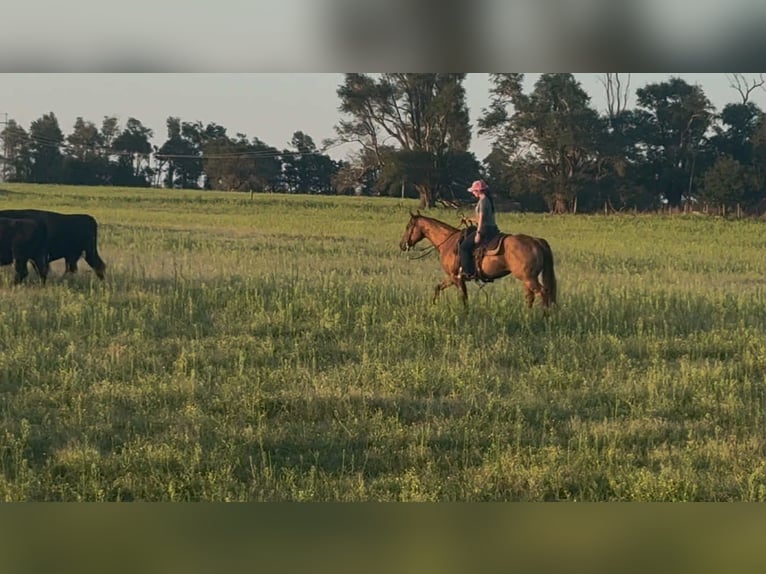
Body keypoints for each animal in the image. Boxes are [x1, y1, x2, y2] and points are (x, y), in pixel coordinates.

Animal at [399, 211, 557, 308]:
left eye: (408, 226)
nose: (402, 245)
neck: (448, 242)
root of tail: (535, 241)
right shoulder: (451, 277)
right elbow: (438, 287)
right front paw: (433, 305)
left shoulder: (457, 278)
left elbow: (464, 299)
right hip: (526, 279)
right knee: (530, 296)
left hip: (529, 278)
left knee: (543, 292)